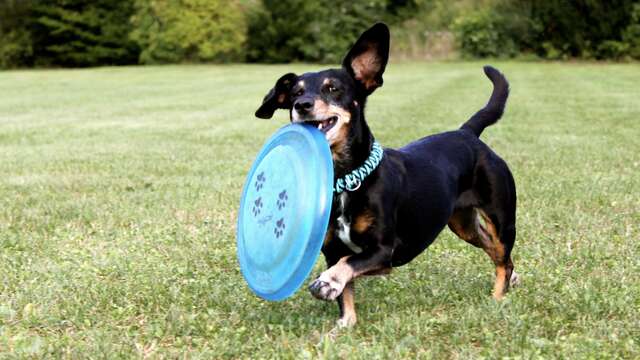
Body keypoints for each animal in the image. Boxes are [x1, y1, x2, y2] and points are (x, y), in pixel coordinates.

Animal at [252, 21, 516, 326]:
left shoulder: (383, 251)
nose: (302, 105)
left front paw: (327, 282)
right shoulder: (333, 250)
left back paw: (498, 296)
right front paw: (344, 324)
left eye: (333, 88)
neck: (347, 181)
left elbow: (348, 265)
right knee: (493, 248)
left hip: (502, 217)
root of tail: (467, 133)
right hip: (462, 224)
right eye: (296, 92)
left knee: (503, 255)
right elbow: (346, 291)